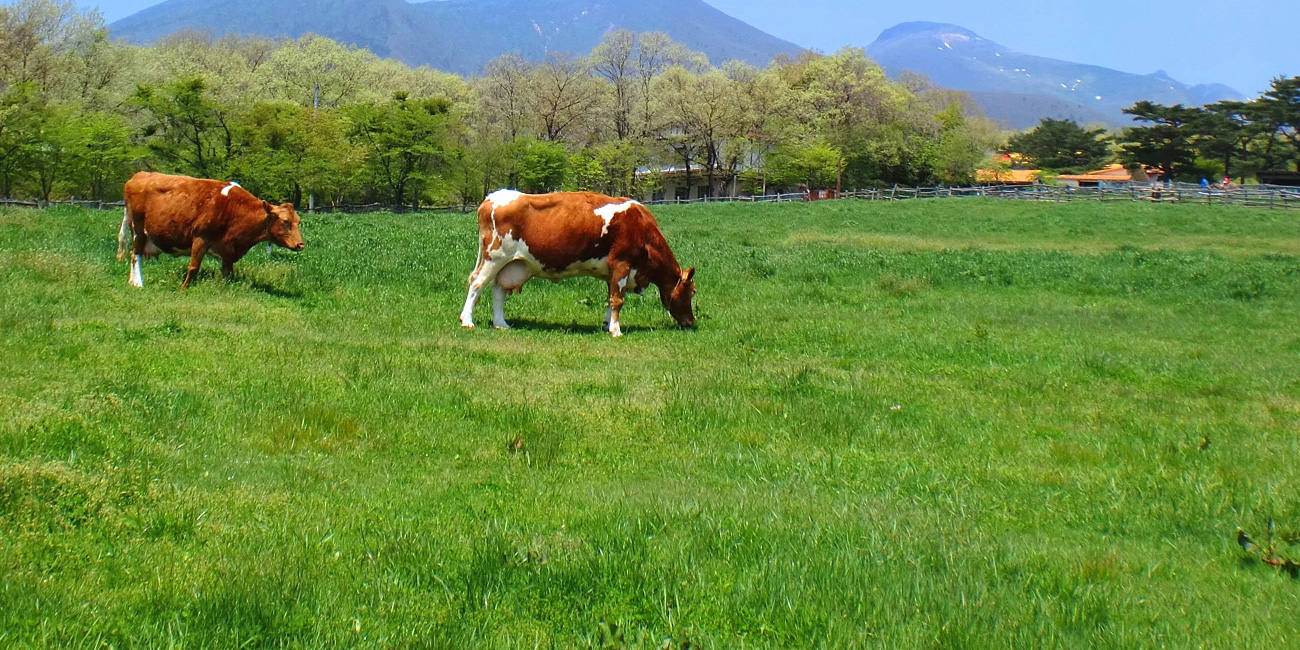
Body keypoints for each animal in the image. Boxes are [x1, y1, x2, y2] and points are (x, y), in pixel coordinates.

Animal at [118, 171, 305, 288]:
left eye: (299, 222)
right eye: (285, 221)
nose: (300, 244)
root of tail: (139, 175)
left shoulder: (228, 249)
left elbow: (227, 272)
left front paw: (224, 287)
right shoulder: (201, 237)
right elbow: (193, 267)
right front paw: (183, 288)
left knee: (132, 253)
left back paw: (131, 282)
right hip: (138, 230)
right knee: (135, 255)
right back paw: (138, 283)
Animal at [460, 189, 696, 338]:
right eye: (692, 292)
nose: (691, 323)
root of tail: (492, 197)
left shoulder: (614, 272)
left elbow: (610, 298)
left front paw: (607, 324)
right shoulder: (622, 264)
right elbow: (618, 300)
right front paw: (616, 331)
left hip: (510, 263)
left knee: (498, 290)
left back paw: (501, 324)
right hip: (494, 257)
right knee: (477, 283)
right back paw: (467, 321)